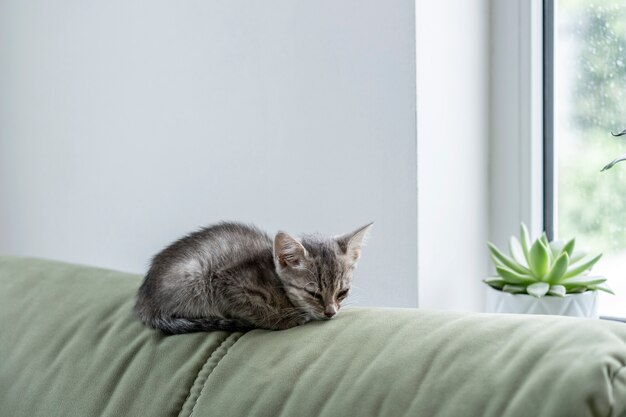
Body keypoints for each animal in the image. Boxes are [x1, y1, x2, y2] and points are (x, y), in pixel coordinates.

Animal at [135, 219, 370, 334]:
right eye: (313, 293)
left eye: (342, 292)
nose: (330, 312)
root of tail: (145, 303)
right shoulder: (225, 283)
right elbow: (254, 307)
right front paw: (284, 320)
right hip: (196, 276)